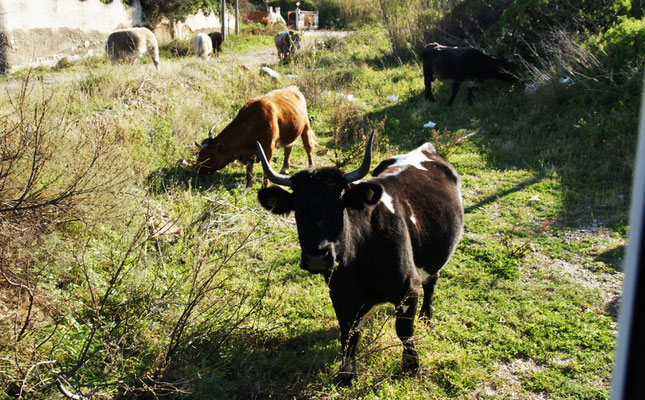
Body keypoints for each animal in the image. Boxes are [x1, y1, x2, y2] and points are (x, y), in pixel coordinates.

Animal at [255, 133, 462, 382]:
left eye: (338, 207)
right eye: (298, 209)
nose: (317, 258)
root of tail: (425, 148)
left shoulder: (408, 288)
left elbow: (404, 332)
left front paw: (411, 365)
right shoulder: (340, 293)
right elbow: (349, 334)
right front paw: (346, 372)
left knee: (432, 280)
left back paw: (426, 316)